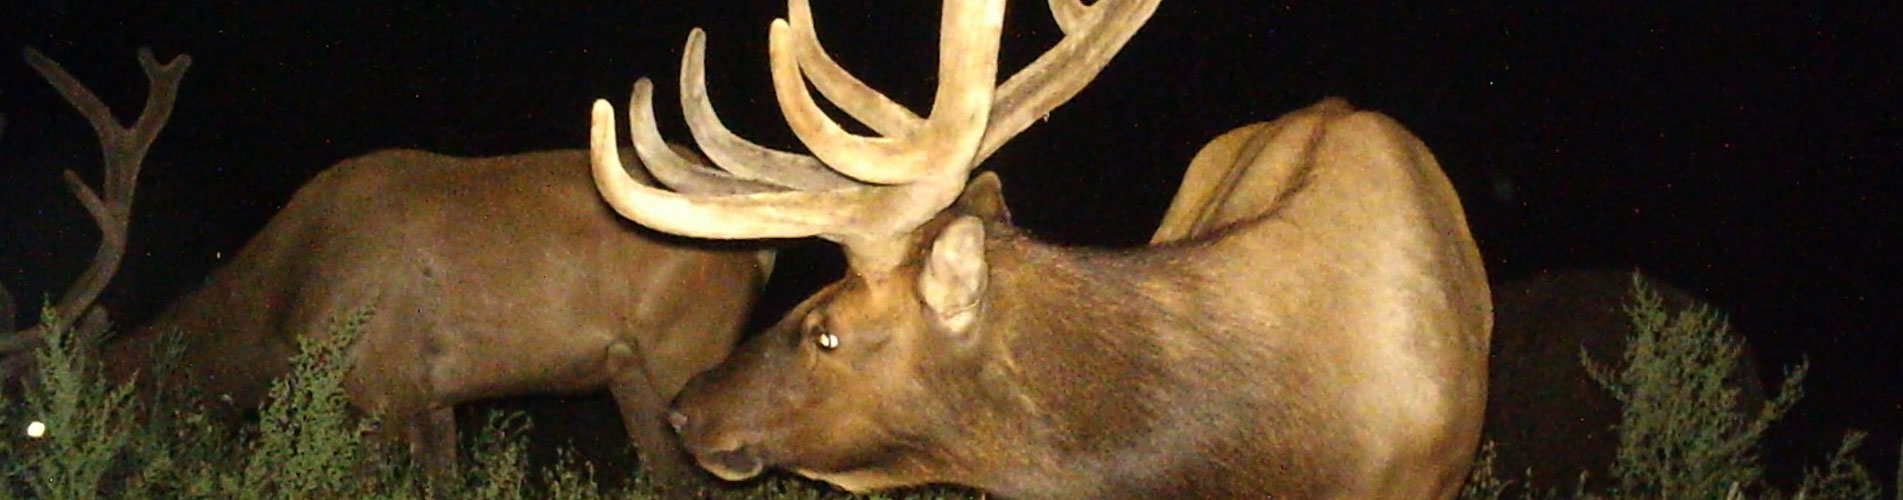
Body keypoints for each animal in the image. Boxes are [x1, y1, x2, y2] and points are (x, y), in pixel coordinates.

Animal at [1, 48, 772, 498]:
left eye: (31, 421)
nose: (30, 477)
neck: (281, 307)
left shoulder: (373, 390)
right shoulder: (431, 396)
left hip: (679, 353)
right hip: (634, 373)